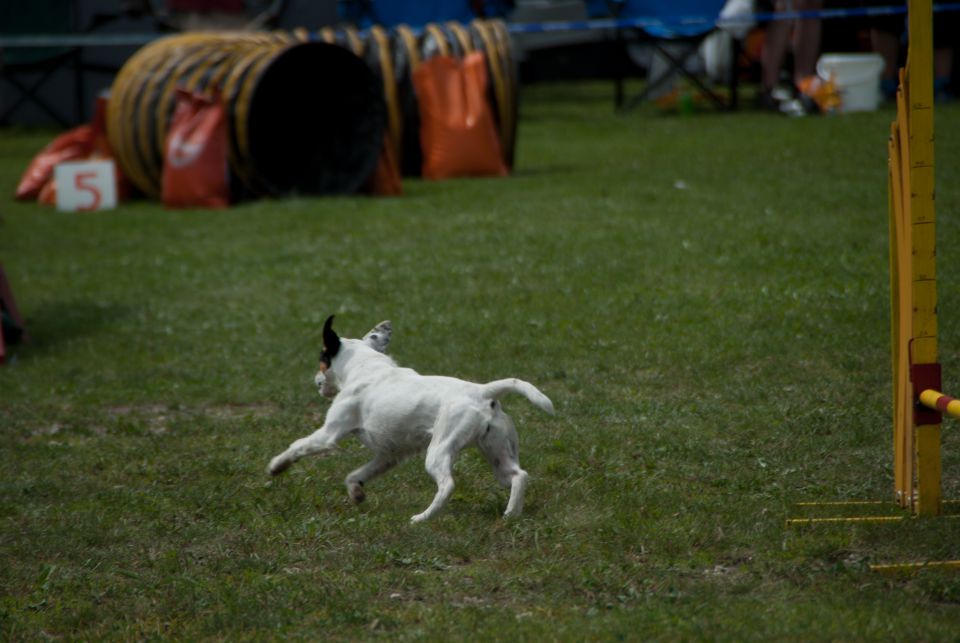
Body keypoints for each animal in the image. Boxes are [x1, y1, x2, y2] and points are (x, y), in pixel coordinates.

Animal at [270, 316, 556, 524]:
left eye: (322, 358)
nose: (315, 381)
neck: (365, 368)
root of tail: (482, 391)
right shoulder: (389, 455)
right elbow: (356, 475)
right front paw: (357, 493)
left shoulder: (328, 434)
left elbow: (297, 446)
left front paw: (276, 466)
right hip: (498, 454)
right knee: (519, 476)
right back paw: (511, 515)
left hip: (440, 449)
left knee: (448, 485)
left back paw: (422, 518)